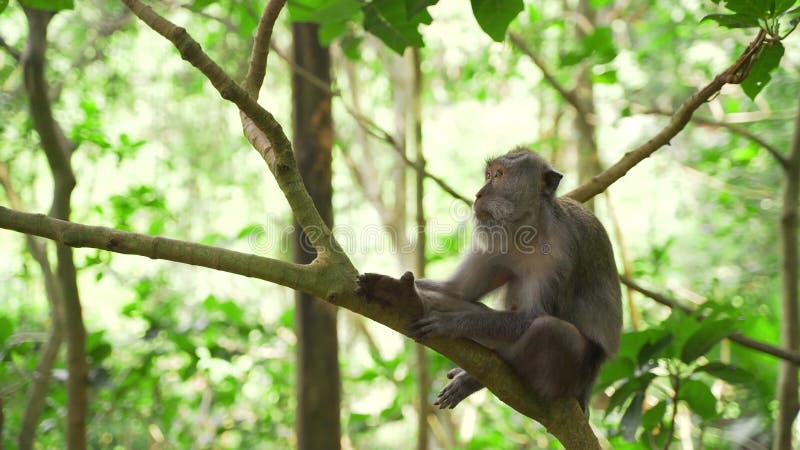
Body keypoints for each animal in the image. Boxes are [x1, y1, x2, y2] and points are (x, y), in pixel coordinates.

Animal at [358, 148, 624, 412]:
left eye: (499, 175)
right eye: (488, 174)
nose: (478, 194)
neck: (527, 230)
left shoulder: (561, 254)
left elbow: (532, 316)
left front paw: (451, 324)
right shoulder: (492, 243)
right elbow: (456, 291)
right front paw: (394, 287)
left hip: (575, 376)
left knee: (551, 330)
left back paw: (471, 379)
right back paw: (407, 298)